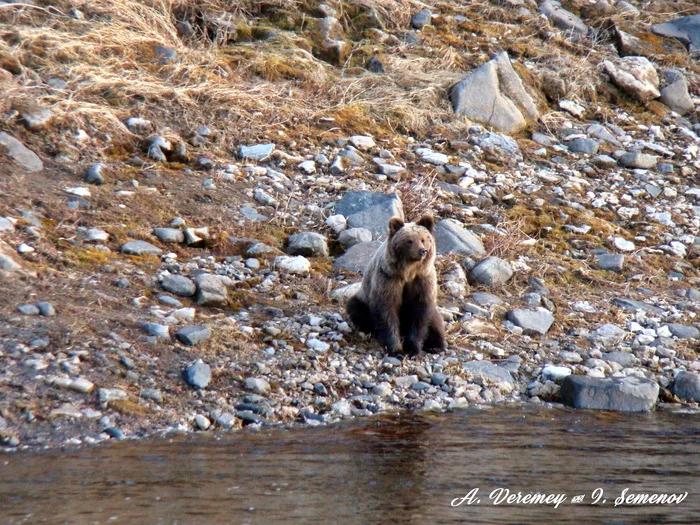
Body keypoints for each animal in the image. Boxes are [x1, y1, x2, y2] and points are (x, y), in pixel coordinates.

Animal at [346, 214, 448, 356]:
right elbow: (387, 311)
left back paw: (436, 345)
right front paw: (396, 349)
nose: (422, 251)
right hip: (363, 299)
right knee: (356, 308)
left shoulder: (422, 280)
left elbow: (420, 314)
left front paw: (412, 348)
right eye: (409, 240)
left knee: (435, 319)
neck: (408, 272)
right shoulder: (388, 279)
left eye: (423, 239)